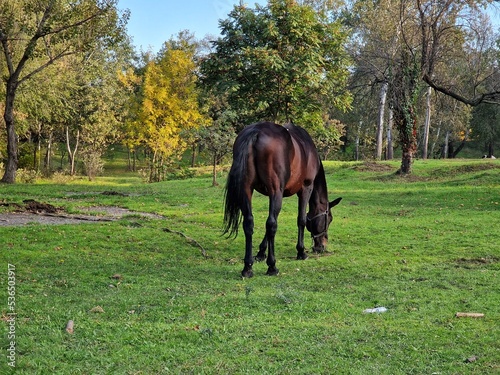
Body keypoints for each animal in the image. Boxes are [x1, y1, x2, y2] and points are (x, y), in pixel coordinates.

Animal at [225, 122, 342, 278]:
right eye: (329, 219)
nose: (322, 246)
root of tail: (257, 131)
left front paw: (261, 252)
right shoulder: (305, 188)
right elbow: (301, 220)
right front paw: (301, 251)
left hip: (246, 189)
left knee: (249, 223)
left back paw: (248, 267)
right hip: (276, 190)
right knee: (271, 224)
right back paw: (272, 266)